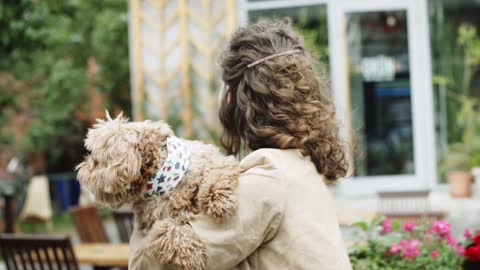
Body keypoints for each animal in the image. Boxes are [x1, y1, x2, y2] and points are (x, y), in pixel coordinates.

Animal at [76, 113, 240, 268]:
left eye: (95, 160)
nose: (81, 171)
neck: (166, 179)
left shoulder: (217, 161)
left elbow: (214, 173)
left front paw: (218, 201)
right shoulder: (153, 224)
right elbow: (168, 229)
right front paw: (191, 256)